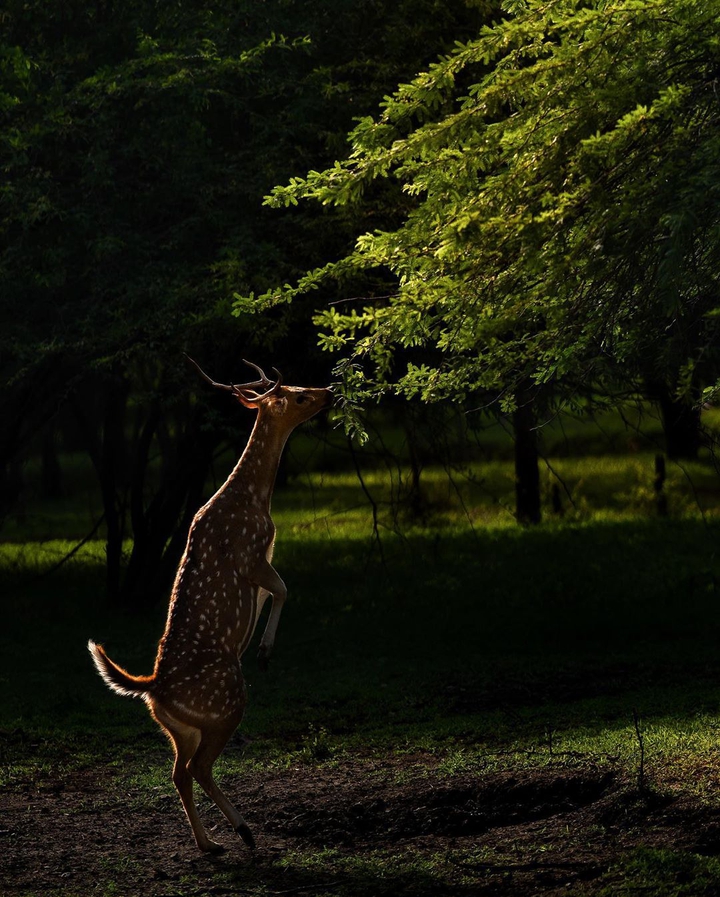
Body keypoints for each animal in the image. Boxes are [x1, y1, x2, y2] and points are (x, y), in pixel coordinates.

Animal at [88, 359, 333, 854]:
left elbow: (277, 592)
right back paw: (243, 832)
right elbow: (284, 589)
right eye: (299, 395)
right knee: (198, 768)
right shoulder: (253, 555)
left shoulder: (264, 558)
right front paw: (264, 651)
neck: (257, 501)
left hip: (179, 729)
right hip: (226, 706)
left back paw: (209, 843)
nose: (330, 391)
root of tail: (152, 688)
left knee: (178, 772)